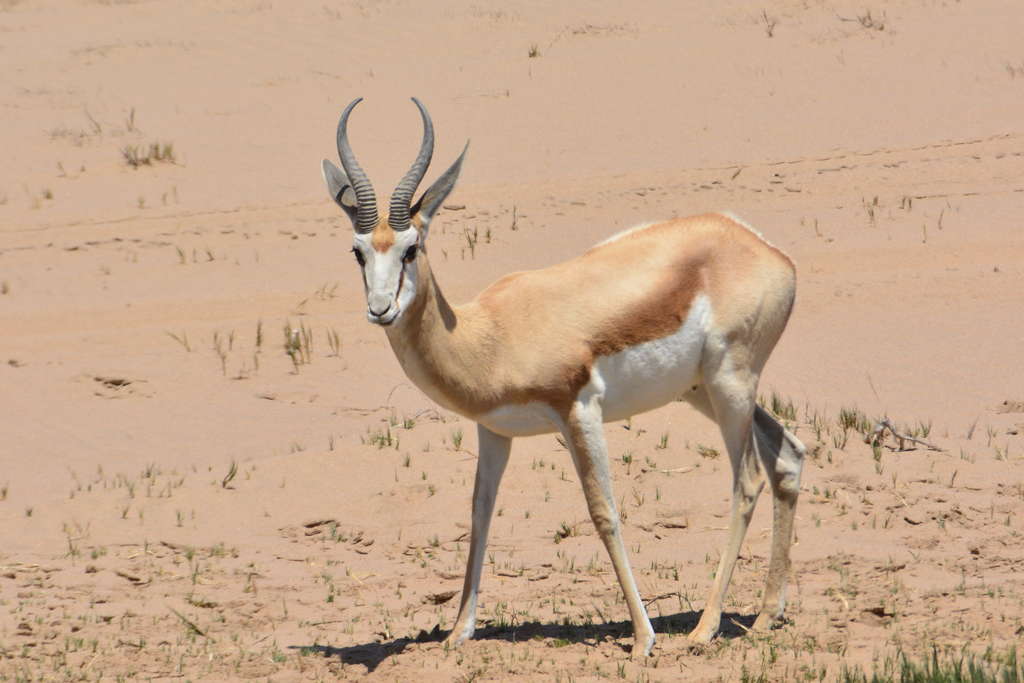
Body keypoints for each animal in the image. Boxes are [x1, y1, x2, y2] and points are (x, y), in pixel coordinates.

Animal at [320, 97, 806, 657]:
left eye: (411, 248)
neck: (490, 335)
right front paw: (458, 632)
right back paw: (767, 615)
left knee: (747, 480)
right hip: (703, 390)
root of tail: (767, 251)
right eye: (358, 251)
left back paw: (705, 627)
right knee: (788, 455)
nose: (381, 310)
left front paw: (643, 637)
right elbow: (480, 513)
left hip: (730, 384)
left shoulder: (578, 411)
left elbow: (603, 511)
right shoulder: (494, 431)